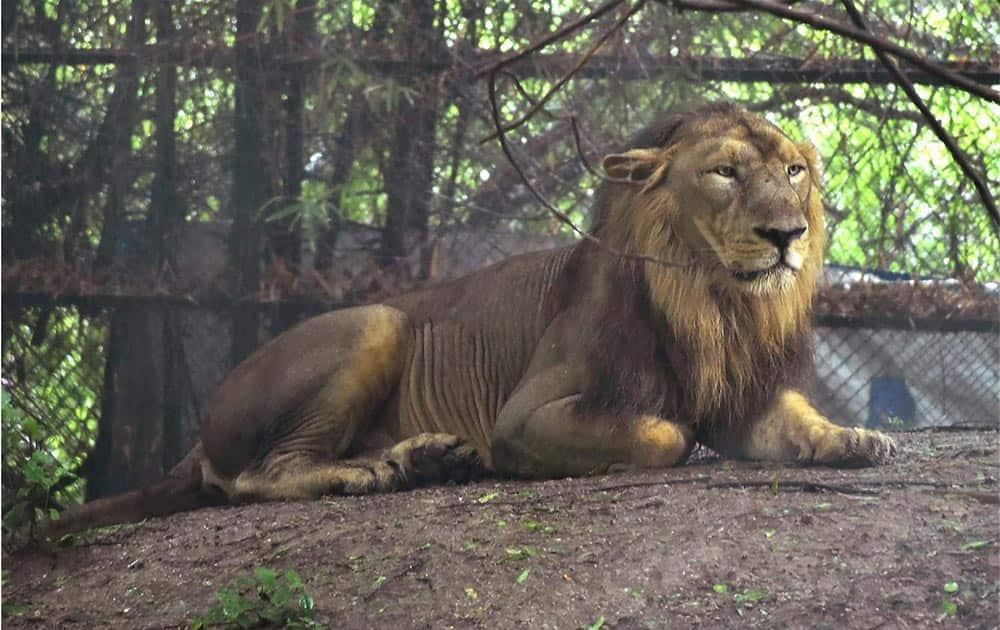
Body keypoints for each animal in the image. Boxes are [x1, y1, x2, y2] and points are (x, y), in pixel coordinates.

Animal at [50, 103, 900, 540]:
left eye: (794, 171)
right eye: (724, 172)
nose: (787, 234)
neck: (715, 303)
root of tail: (196, 440)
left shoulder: (746, 395)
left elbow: (797, 422)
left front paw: (855, 438)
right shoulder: (523, 417)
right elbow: (663, 432)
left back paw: (426, 459)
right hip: (379, 320)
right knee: (255, 476)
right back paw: (369, 471)